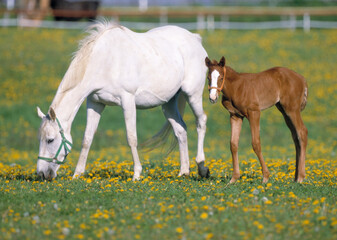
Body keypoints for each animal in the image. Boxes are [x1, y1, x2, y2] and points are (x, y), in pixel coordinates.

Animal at [37, 22, 210, 180]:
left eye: (50, 140)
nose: (42, 174)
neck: (105, 61)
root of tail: (195, 38)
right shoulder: (95, 103)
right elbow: (87, 138)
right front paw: (77, 174)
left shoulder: (128, 101)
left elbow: (131, 138)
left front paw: (137, 174)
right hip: (168, 104)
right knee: (181, 131)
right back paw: (184, 171)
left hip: (193, 94)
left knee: (201, 121)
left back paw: (202, 167)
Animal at [205, 56, 308, 184]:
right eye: (208, 78)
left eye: (221, 77)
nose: (212, 98)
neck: (236, 88)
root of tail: (302, 79)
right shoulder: (235, 116)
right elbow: (233, 144)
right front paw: (234, 178)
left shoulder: (254, 112)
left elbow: (256, 143)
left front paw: (265, 177)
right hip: (284, 111)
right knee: (295, 137)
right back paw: (295, 177)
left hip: (292, 110)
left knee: (302, 132)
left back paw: (301, 178)